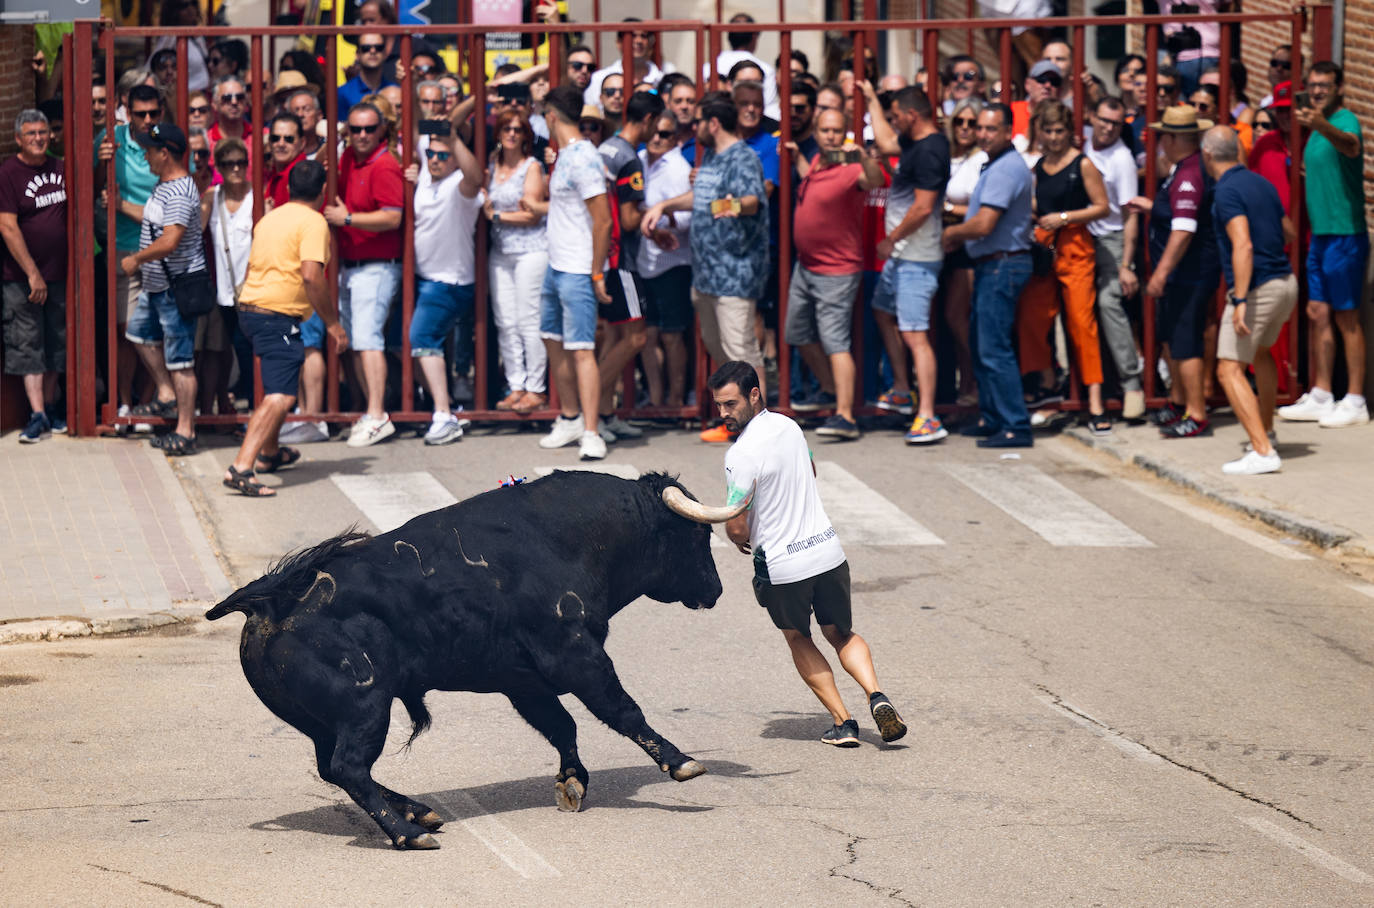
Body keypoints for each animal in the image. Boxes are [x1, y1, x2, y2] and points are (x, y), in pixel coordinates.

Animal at [203, 469, 752, 846]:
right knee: (349, 768)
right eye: (697, 536)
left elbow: (562, 726)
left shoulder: (524, 680)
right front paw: (680, 763)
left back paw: (418, 812)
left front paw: (571, 782)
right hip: (365, 709)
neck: (569, 537)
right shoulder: (574, 655)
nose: (716, 590)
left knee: (333, 768)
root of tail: (269, 600)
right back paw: (409, 832)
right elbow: (621, 710)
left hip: (324, 721)